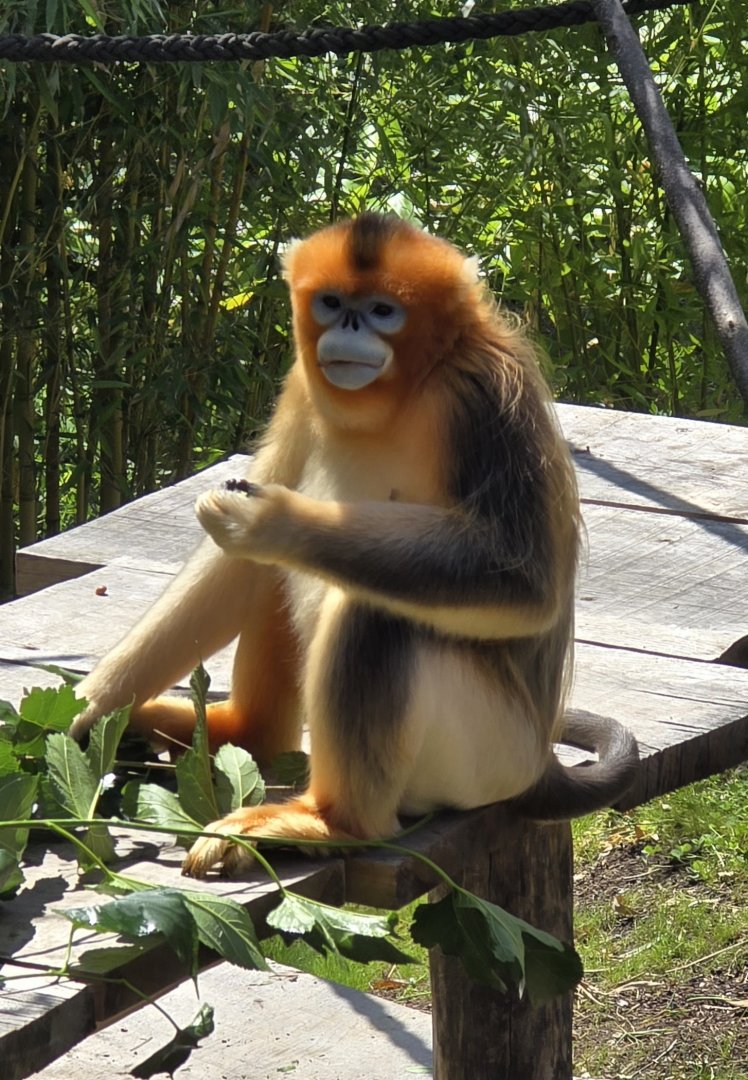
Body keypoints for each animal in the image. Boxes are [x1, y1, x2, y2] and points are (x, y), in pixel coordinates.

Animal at [71, 212, 638, 878]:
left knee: (375, 611)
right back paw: (237, 734)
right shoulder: (299, 385)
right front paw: (86, 709)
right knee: (274, 581)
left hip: (489, 754)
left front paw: (274, 522)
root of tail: (536, 765)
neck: (403, 393)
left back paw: (330, 823)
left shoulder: (482, 396)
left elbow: (523, 585)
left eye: (382, 311)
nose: (348, 327)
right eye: (333, 302)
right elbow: (234, 569)